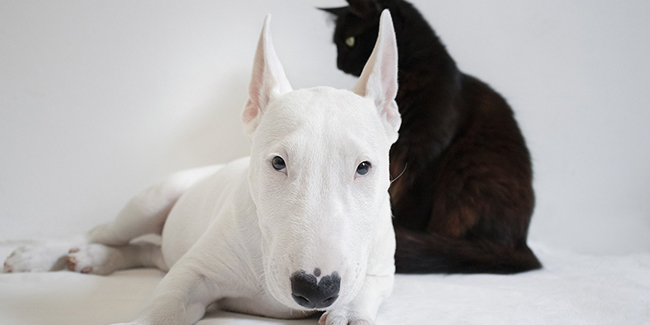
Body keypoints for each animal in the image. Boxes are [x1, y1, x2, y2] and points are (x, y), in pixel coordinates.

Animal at [2, 10, 400, 324]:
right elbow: (165, 302)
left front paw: (347, 312)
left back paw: (96, 259)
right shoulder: (194, 272)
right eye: (278, 162)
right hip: (152, 200)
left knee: (147, 252)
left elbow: (367, 289)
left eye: (364, 167)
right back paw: (40, 255)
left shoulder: (381, 267)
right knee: (103, 231)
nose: (315, 287)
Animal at [318, 0, 536, 274]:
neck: (410, 77)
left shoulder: (424, 155)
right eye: (337, 44)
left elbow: (410, 203)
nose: (339, 63)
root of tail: (522, 246)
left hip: (470, 173)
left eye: (349, 41)